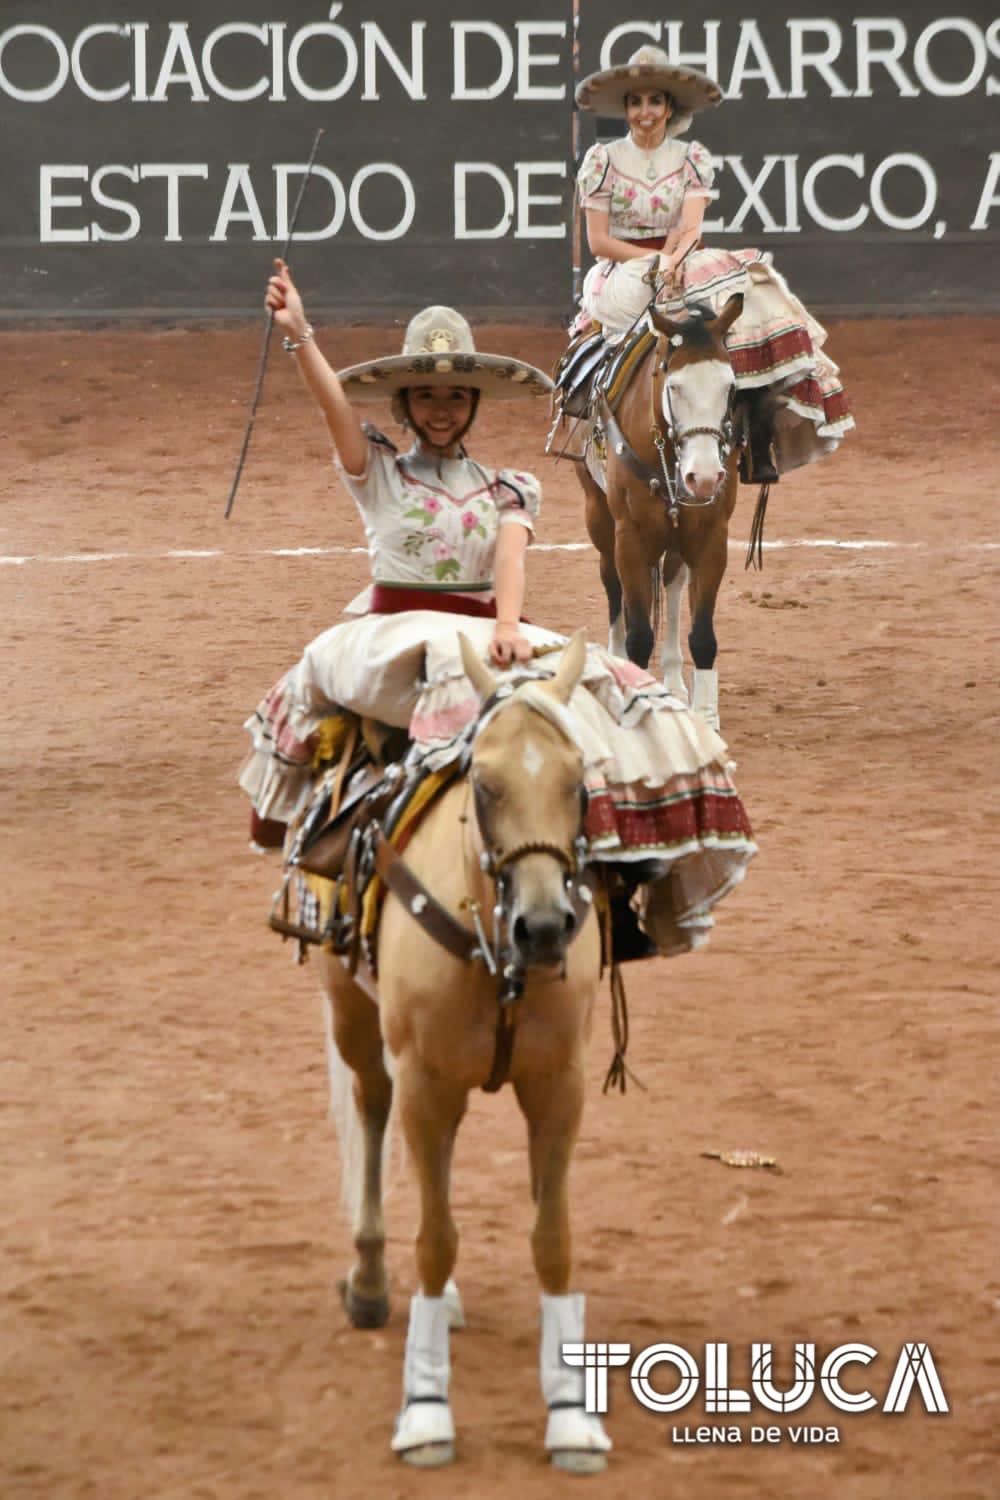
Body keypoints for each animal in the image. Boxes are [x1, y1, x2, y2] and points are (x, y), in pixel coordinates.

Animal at [313, 633, 614, 1476]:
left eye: (579, 784)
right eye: (484, 785)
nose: (543, 927)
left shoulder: (560, 1085)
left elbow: (553, 1240)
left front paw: (570, 1415)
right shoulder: (426, 1081)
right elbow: (437, 1239)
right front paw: (425, 1411)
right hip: (359, 1025)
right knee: (376, 1121)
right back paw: (373, 1279)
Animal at [575, 294, 746, 732]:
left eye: (730, 387)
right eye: (674, 386)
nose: (704, 476)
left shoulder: (711, 536)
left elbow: (702, 635)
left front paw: (706, 715)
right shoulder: (630, 537)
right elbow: (638, 634)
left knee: (672, 584)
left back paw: (673, 681)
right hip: (599, 516)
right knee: (611, 583)